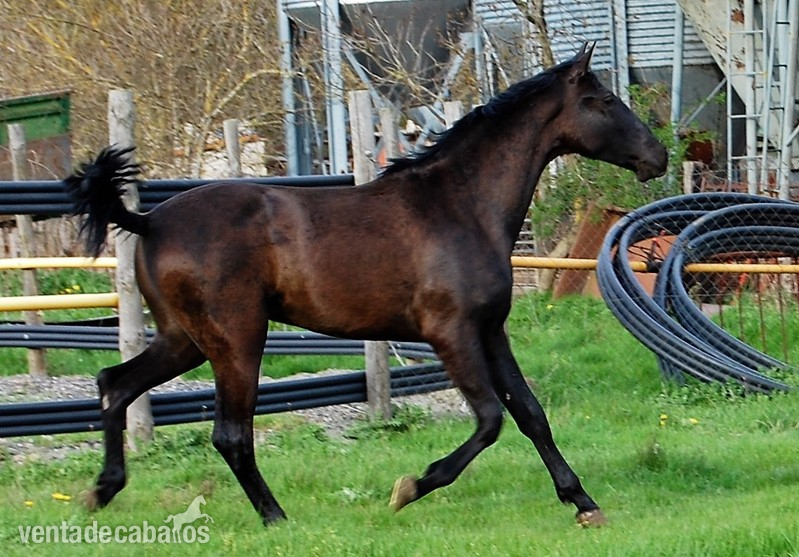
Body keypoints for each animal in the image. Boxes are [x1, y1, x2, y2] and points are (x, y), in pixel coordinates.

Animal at [64, 43, 667, 527]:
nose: (657, 156)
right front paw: (410, 487)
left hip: (183, 339)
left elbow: (531, 414)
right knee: (230, 433)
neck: (461, 206)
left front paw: (584, 503)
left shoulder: (491, 330)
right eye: (604, 100)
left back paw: (102, 491)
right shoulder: (450, 333)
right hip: (237, 340)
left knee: (115, 384)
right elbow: (491, 420)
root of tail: (149, 221)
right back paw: (275, 517)